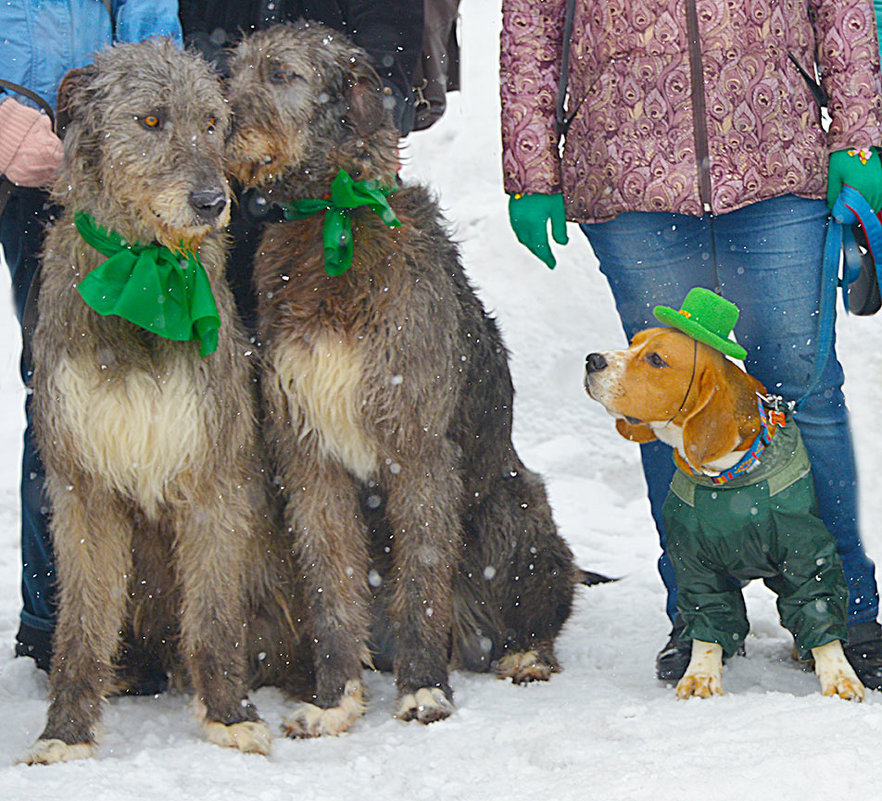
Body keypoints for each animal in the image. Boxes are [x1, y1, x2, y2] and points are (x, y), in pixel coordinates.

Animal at [21, 40, 310, 764]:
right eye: (150, 120)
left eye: (212, 121)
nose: (211, 201)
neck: (142, 275)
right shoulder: (82, 484)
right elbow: (82, 623)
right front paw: (65, 729)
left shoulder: (211, 475)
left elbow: (212, 617)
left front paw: (230, 715)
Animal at [227, 23, 580, 736]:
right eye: (231, 71)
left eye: (281, 73)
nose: (218, 121)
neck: (330, 217)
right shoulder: (309, 455)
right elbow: (330, 586)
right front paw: (333, 700)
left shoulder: (417, 447)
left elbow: (422, 576)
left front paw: (422, 690)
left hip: (515, 510)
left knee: (540, 605)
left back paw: (525, 654)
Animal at [580, 324, 864, 700]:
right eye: (632, 343)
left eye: (656, 359)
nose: (591, 359)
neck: (729, 479)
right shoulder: (695, 562)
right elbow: (709, 619)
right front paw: (700, 674)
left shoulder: (805, 555)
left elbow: (818, 610)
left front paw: (840, 676)